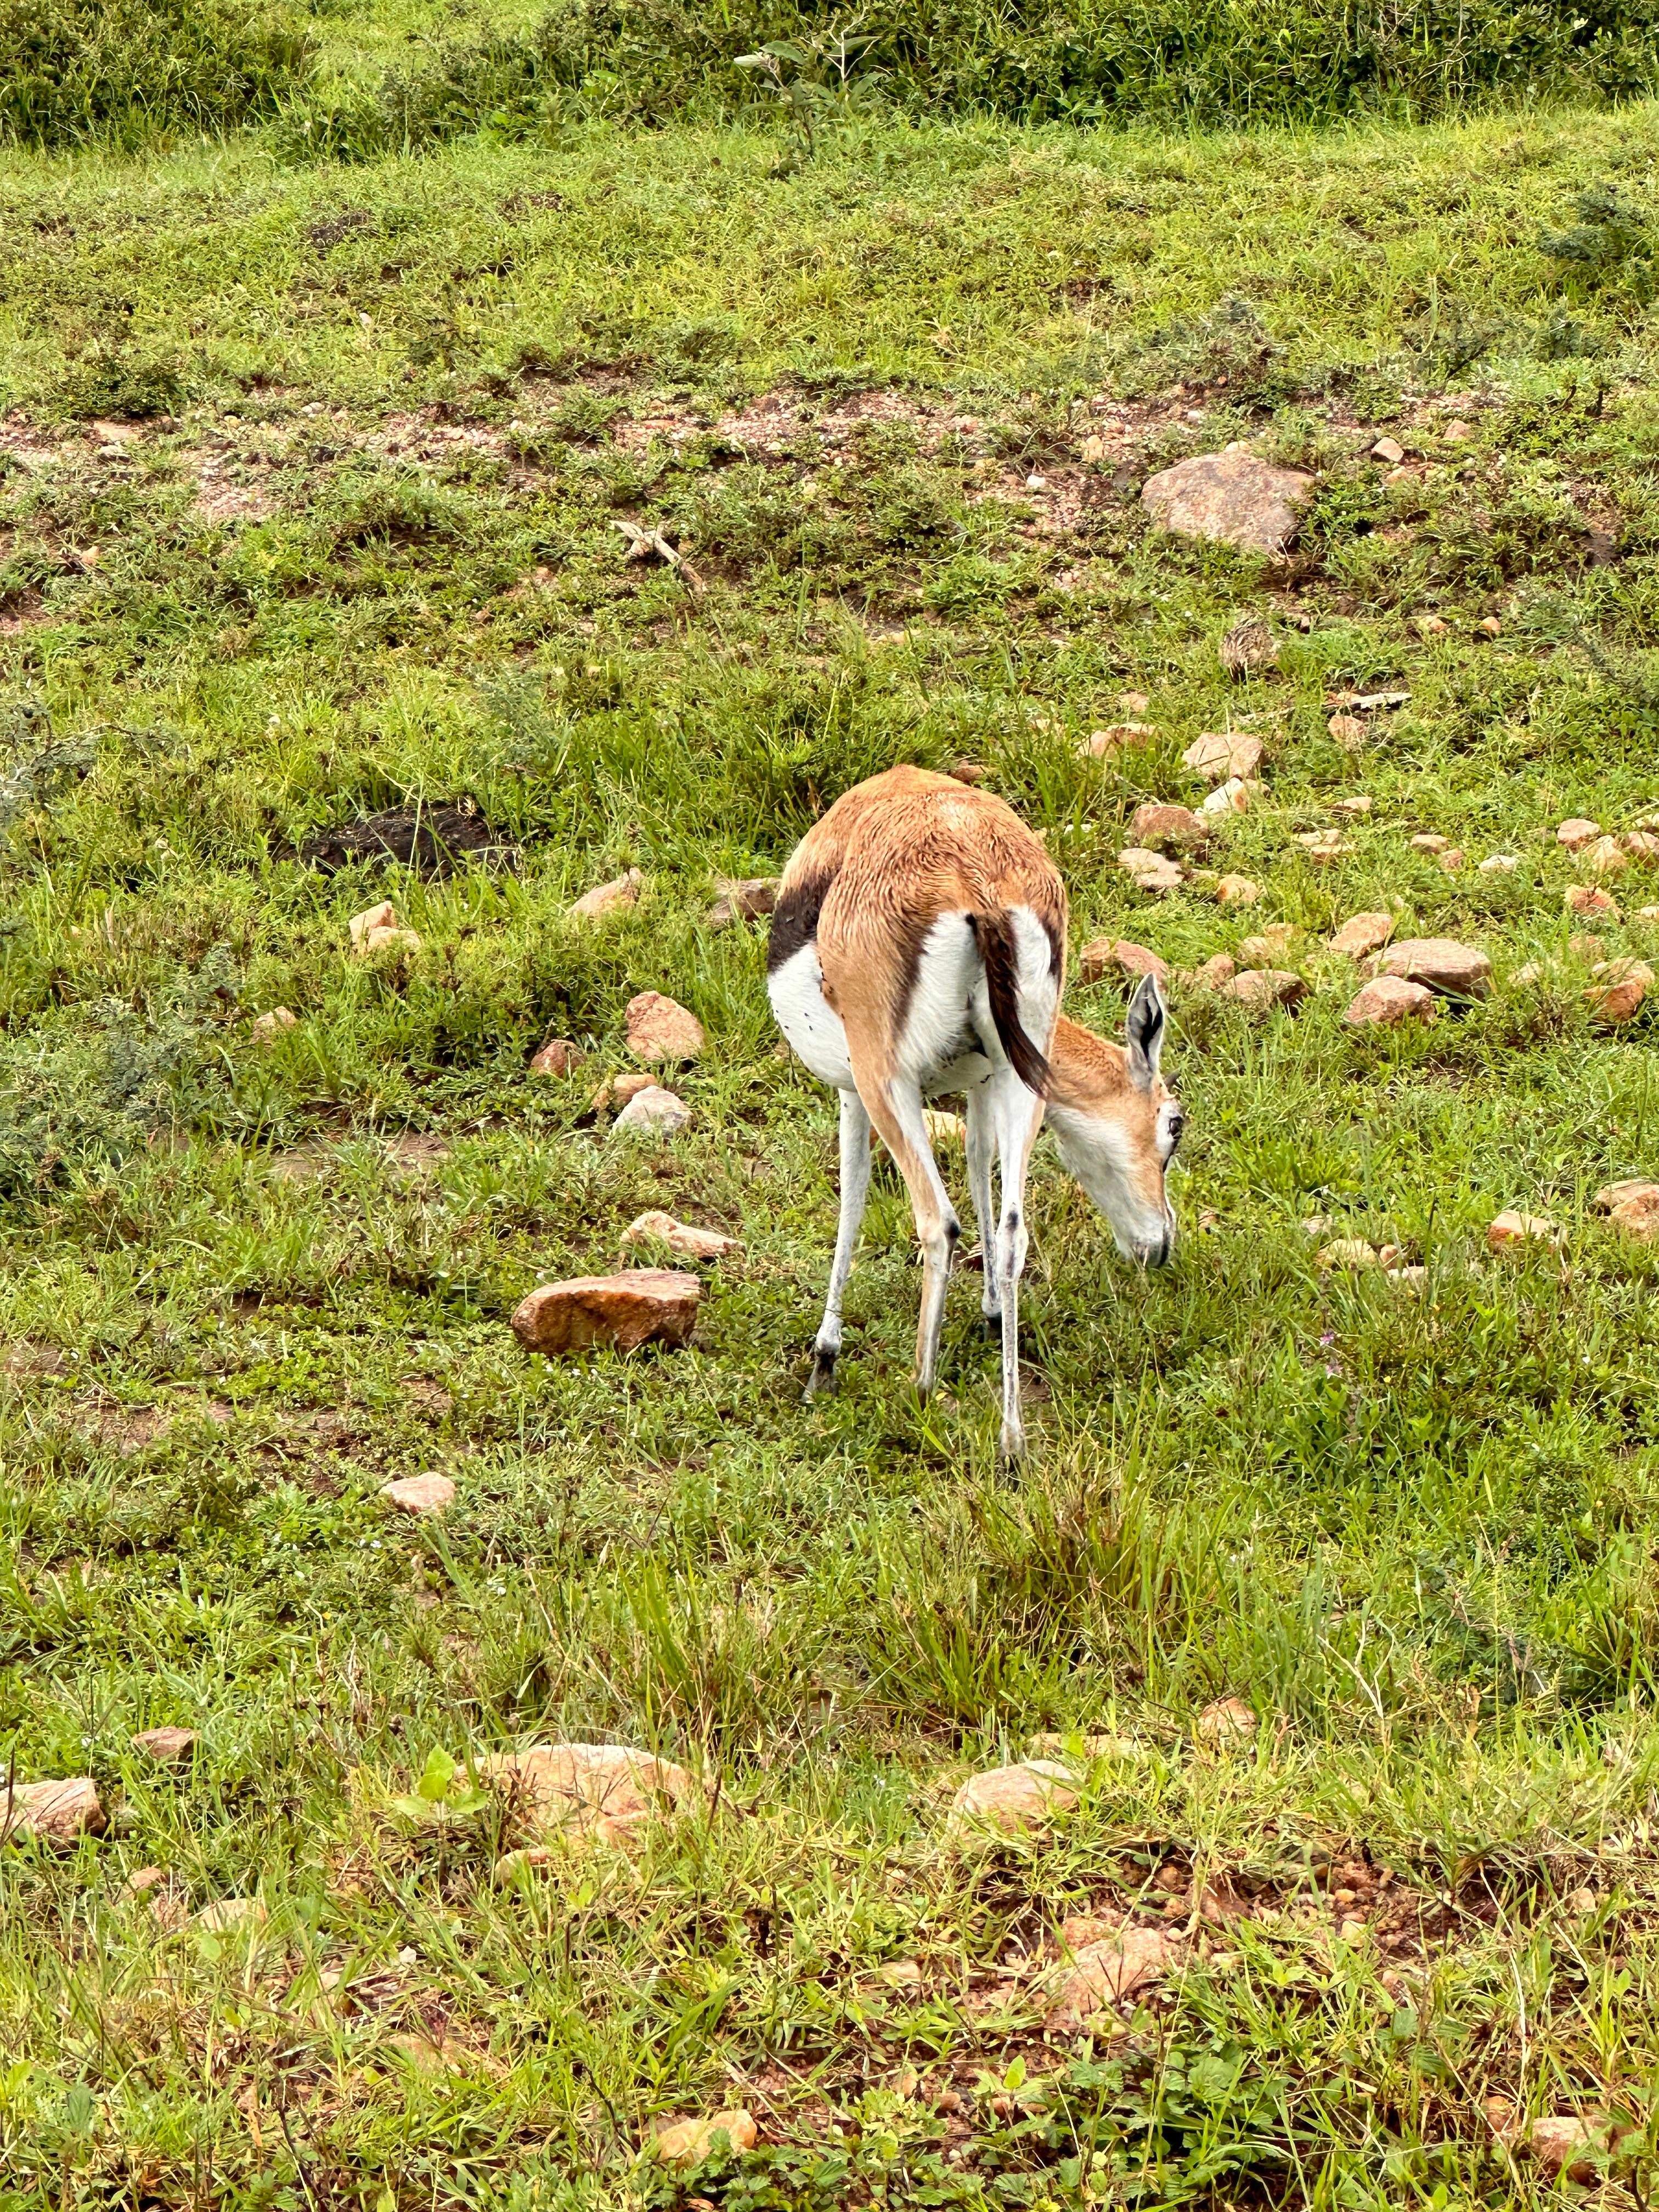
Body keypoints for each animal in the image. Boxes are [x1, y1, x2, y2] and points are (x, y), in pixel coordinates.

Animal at [766, 765, 1182, 1460]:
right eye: (1174, 1125)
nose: (1162, 1245)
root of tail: (975, 883)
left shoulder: (855, 1092)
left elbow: (852, 1198)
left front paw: (824, 1361)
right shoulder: (984, 1081)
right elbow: (979, 1170)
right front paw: (990, 1316)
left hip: (890, 1082)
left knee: (938, 1221)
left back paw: (919, 1390)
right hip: (1021, 1075)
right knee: (1013, 1230)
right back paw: (1011, 1442)